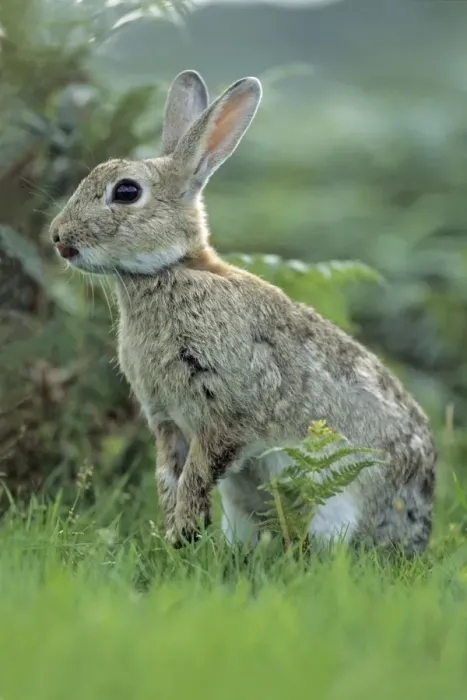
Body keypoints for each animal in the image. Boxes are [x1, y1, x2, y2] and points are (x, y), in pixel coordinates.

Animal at [50, 69, 436, 555]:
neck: (171, 271)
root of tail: (418, 532)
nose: (58, 237)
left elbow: (196, 475)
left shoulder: (226, 415)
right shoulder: (167, 421)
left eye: (126, 192)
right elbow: (168, 477)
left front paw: (182, 533)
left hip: (338, 507)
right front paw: (174, 536)